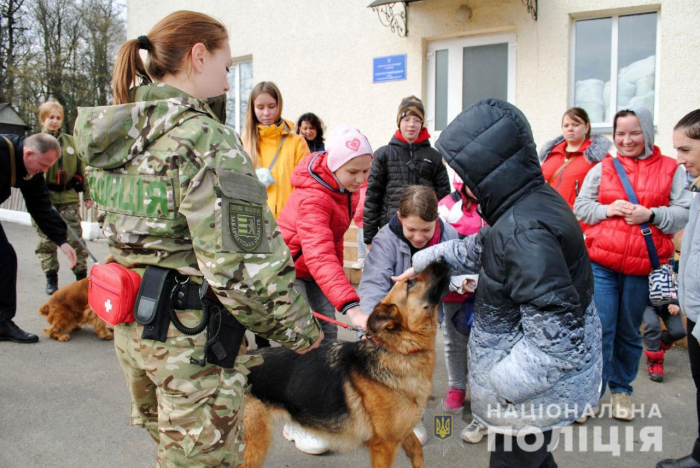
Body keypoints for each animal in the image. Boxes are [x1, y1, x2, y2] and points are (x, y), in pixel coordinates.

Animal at [241, 262, 448, 466]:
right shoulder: (384, 446)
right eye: (410, 283)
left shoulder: (403, 433)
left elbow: (417, 450)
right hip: (254, 446)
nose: (440, 260)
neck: (397, 349)